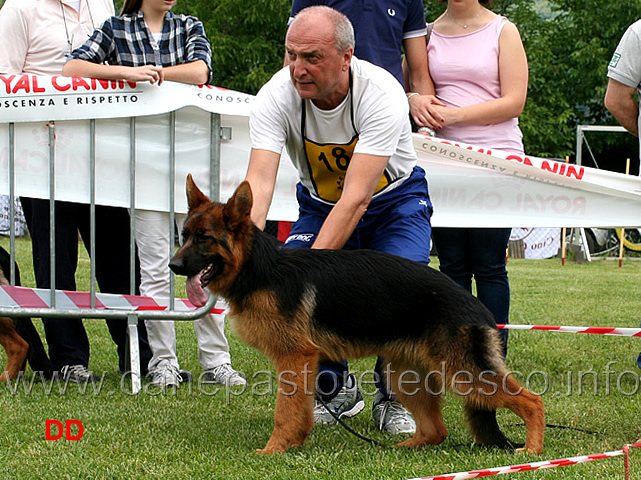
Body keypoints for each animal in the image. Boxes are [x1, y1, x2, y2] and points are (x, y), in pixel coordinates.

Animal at [168, 178, 544, 456]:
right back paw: (404, 447)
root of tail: (477, 306)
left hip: (462, 373)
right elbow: (299, 411)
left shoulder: (294, 358)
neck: (261, 270)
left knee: (532, 401)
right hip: (404, 375)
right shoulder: (304, 364)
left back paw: (532, 451)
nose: (173, 265)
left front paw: (274, 449)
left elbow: (284, 413)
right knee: (436, 430)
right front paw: (294, 443)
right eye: (184, 236)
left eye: (205, 239)